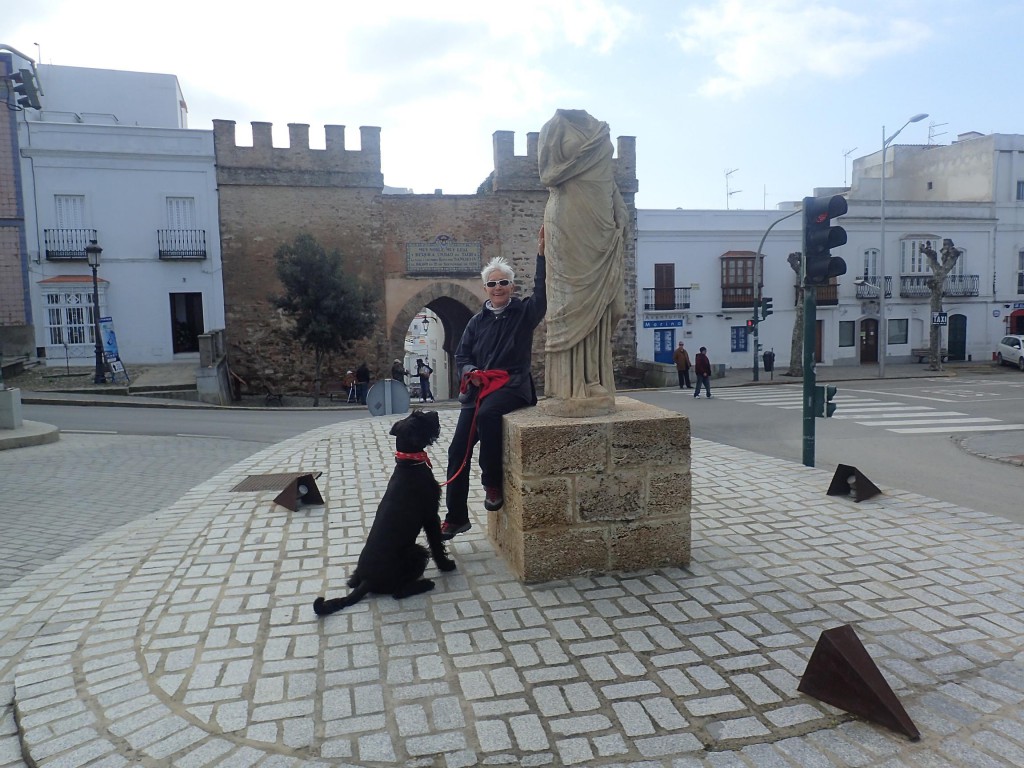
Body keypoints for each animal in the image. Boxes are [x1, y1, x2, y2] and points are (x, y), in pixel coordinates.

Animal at [311, 411, 456, 618]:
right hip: (416, 552)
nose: (435, 413)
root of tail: (368, 581)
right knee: (398, 591)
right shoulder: (430, 516)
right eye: (420, 417)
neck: (409, 464)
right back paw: (424, 584)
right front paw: (446, 564)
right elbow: (436, 543)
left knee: (353, 581)